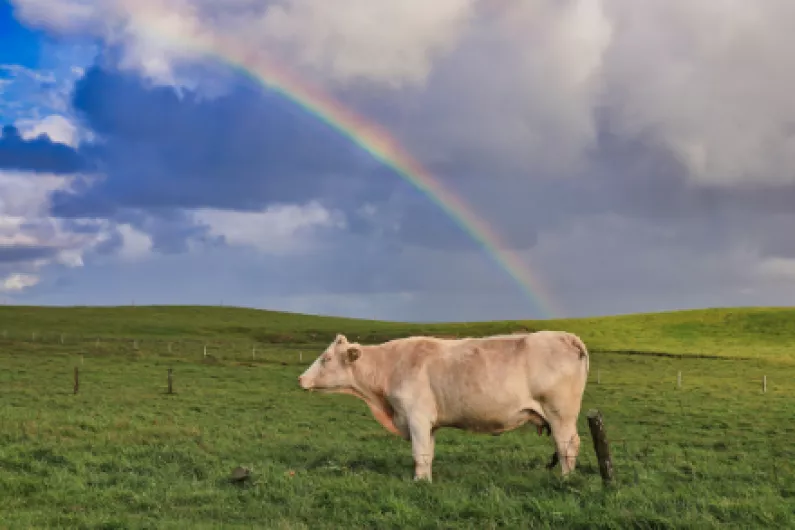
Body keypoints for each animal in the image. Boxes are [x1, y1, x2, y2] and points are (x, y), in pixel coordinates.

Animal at [298, 328, 592, 480]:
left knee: (568, 446)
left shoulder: (416, 417)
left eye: (325, 358)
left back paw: (565, 478)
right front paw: (425, 480)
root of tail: (567, 336)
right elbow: (427, 453)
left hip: (561, 414)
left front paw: (418, 482)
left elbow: (418, 453)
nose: (301, 379)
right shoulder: (429, 423)